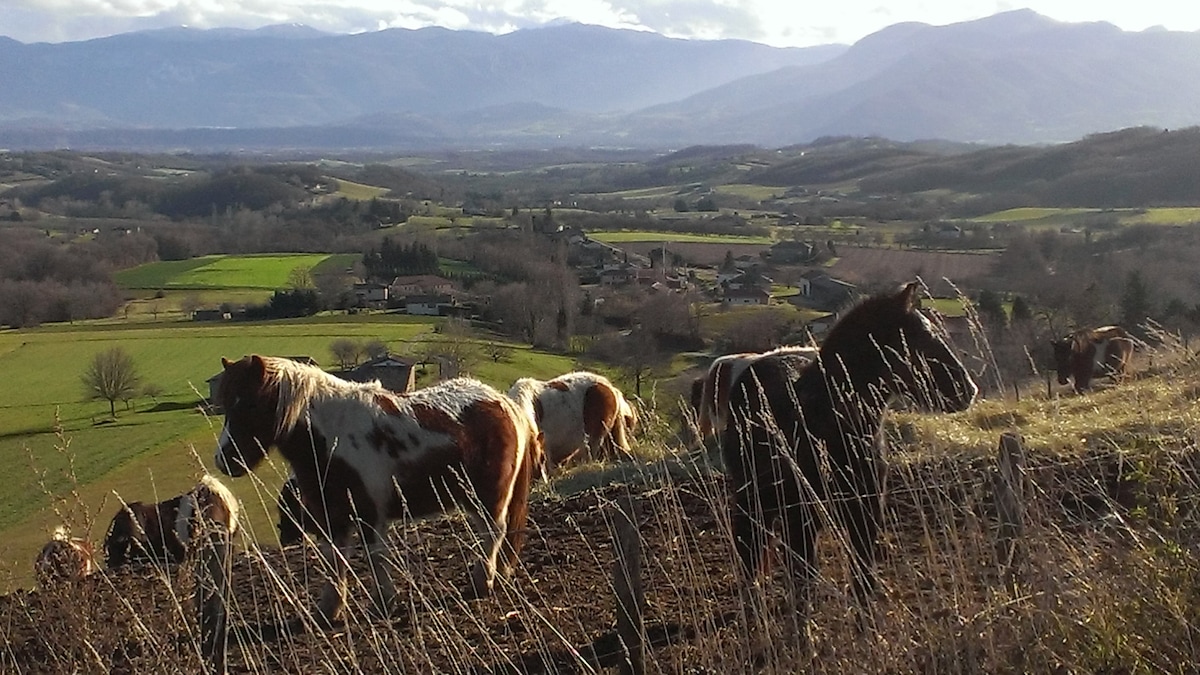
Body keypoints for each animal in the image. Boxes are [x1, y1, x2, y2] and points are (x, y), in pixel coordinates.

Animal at [213, 355, 542, 624]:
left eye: (250, 404)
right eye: (226, 404)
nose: (224, 460)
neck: (332, 437)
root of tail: (503, 403)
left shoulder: (371, 515)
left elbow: (375, 558)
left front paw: (384, 602)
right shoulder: (333, 518)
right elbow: (334, 560)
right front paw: (329, 609)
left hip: (489, 497)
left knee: (494, 533)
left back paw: (481, 583)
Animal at [715, 281, 979, 634]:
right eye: (922, 338)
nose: (967, 389)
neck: (827, 418)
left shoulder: (865, 512)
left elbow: (862, 577)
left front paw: (867, 633)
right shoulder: (802, 517)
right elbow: (803, 581)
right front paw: (803, 639)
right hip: (752, 501)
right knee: (751, 558)